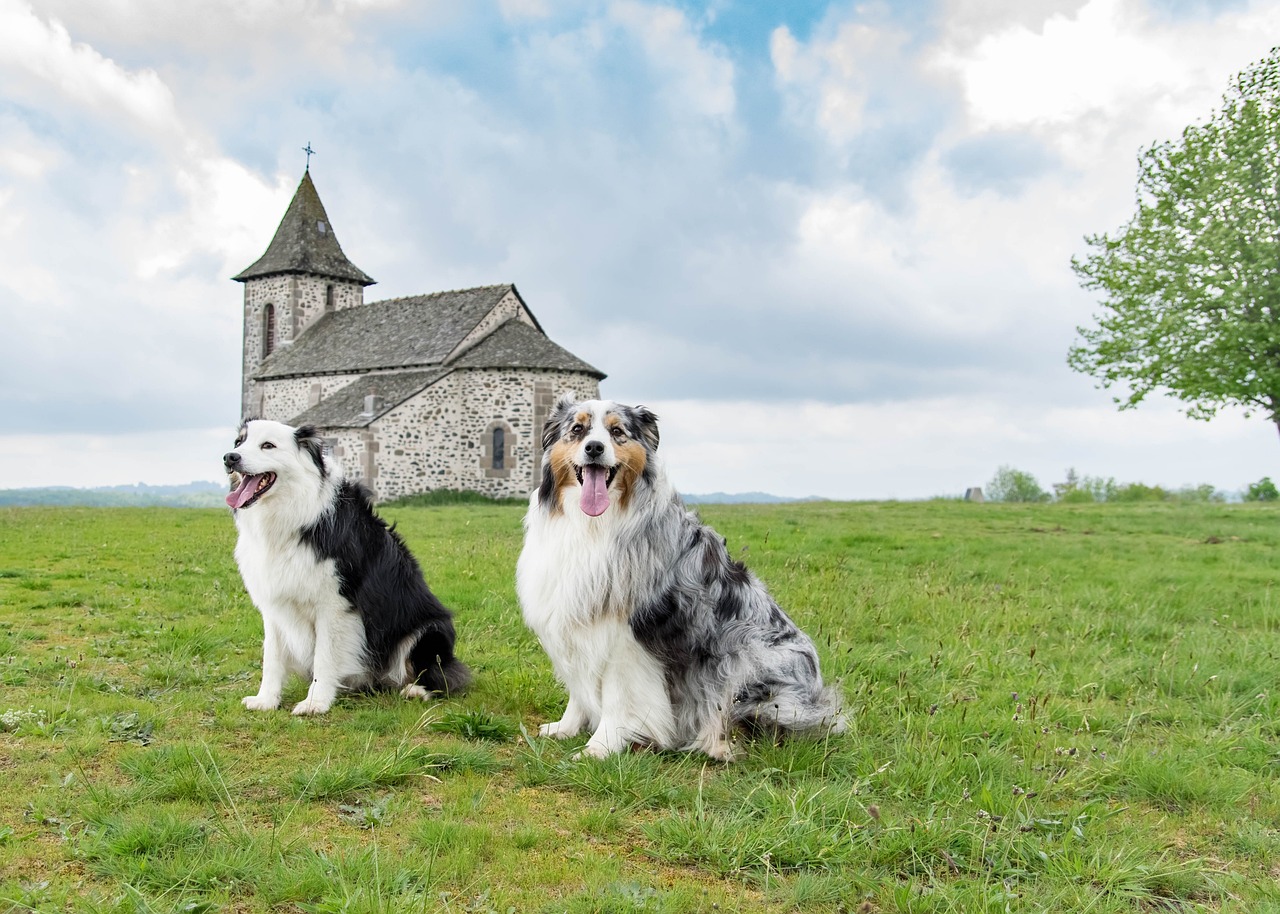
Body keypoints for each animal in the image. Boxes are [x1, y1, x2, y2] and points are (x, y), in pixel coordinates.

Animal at [222, 419, 468, 711]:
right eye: (239, 442)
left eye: (268, 445)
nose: (229, 457)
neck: (296, 512)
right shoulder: (275, 604)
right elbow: (272, 657)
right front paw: (266, 700)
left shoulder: (335, 604)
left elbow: (324, 656)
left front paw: (315, 702)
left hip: (430, 630)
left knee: (442, 675)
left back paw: (416, 690)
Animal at [514, 394, 844, 757]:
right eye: (577, 429)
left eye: (617, 432)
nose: (595, 448)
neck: (593, 526)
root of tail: (820, 699)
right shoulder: (574, 620)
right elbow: (578, 686)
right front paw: (566, 727)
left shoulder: (627, 636)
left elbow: (616, 697)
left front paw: (599, 748)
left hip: (749, 664)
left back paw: (716, 744)